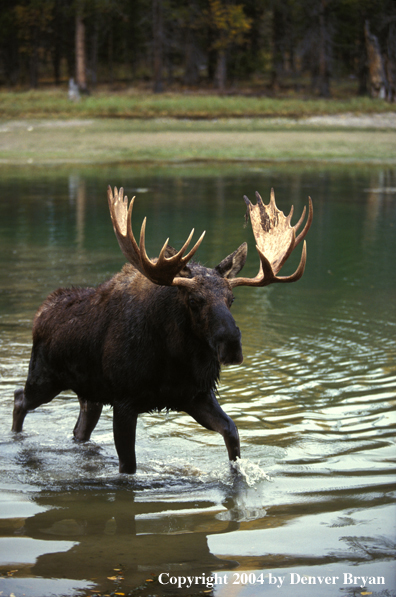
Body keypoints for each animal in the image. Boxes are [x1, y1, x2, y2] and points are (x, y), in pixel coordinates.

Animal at [11, 184, 312, 472]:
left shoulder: (196, 394)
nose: (231, 346)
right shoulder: (124, 401)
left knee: (78, 429)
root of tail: (40, 313)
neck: (175, 358)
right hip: (45, 378)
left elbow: (232, 432)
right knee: (19, 398)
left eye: (231, 299)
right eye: (194, 300)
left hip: (90, 393)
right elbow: (128, 467)